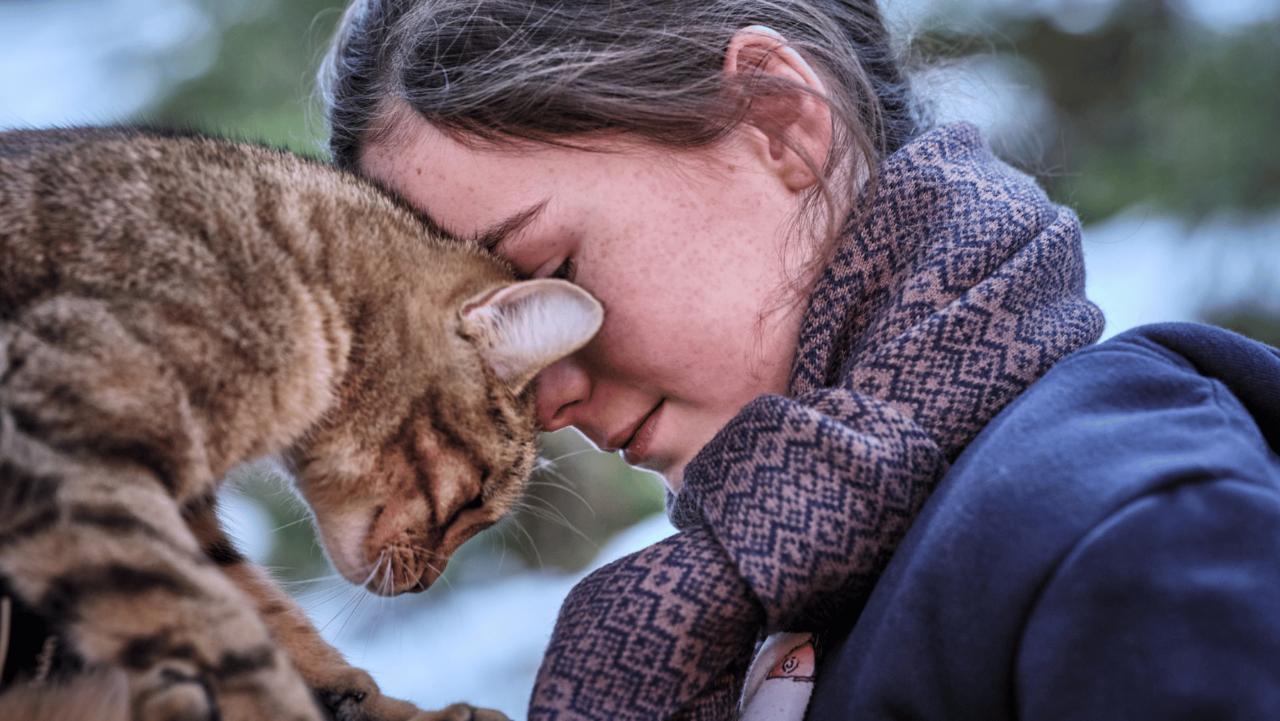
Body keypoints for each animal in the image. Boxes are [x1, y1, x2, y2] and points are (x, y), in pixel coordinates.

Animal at [0, 129, 604, 721]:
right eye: (477, 497)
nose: (424, 585)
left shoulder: (186, 510)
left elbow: (262, 612)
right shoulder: (73, 456)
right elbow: (216, 627)